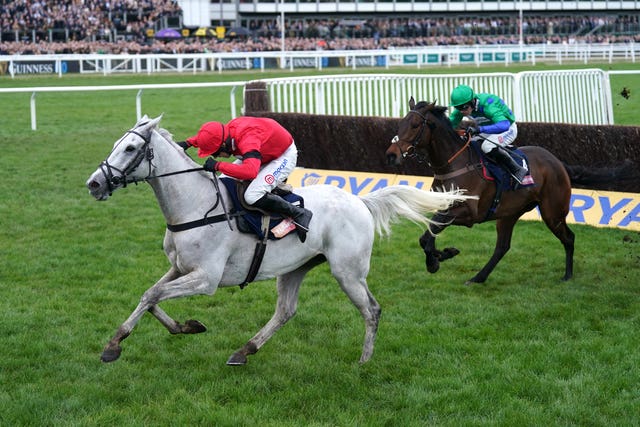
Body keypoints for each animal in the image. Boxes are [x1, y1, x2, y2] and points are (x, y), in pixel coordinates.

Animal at [388, 98, 576, 286]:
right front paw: (441, 255)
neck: (454, 164)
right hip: (510, 213)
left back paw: (568, 275)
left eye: (415, 125)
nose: (391, 155)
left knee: (569, 238)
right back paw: (478, 277)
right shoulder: (444, 207)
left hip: (552, 213)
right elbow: (428, 233)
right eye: (401, 123)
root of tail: (557, 162)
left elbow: (432, 231)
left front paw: (437, 259)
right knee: (502, 247)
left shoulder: (469, 213)